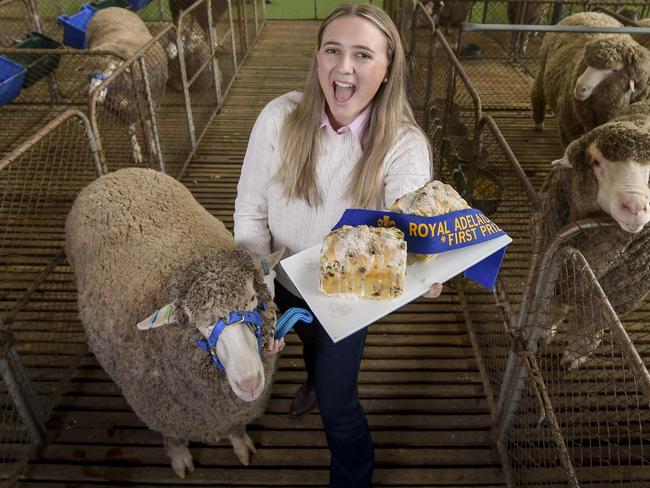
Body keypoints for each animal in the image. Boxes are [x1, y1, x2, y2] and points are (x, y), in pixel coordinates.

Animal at [64, 168, 282, 476]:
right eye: (192, 320)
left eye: (252, 299)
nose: (249, 383)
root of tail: (114, 174)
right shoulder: (161, 413)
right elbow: (174, 440)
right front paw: (180, 462)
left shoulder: (231, 414)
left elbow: (237, 431)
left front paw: (241, 447)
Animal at [84, 7, 170, 166]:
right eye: (89, 74)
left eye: (112, 70)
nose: (93, 93)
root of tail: (110, 8)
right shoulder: (122, 111)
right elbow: (130, 130)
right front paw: (136, 152)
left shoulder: (149, 102)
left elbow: (149, 125)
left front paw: (152, 146)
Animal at [528, 11, 648, 147]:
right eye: (588, 64)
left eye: (615, 70)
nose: (579, 87)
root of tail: (592, 13)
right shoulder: (569, 125)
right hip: (542, 67)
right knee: (537, 94)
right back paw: (538, 123)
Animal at [532, 100, 648, 366]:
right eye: (596, 162)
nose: (635, 207)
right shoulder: (552, 254)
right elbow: (551, 299)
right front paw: (542, 331)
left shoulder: (615, 293)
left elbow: (589, 322)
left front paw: (576, 354)